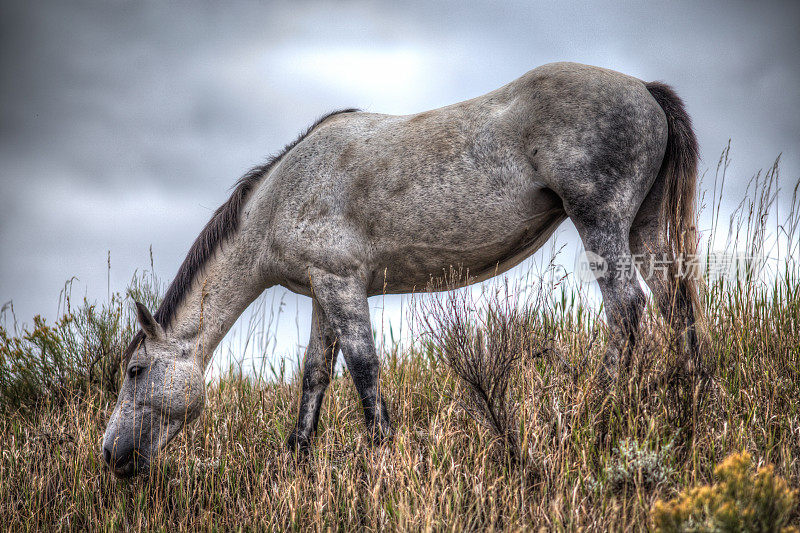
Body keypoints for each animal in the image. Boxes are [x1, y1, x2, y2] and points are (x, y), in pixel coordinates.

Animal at [101, 60, 700, 476]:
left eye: (135, 371)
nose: (109, 453)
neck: (281, 196)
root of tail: (645, 90)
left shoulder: (342, 285)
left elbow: (364, 369)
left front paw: (382, 456)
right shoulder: (324, 291)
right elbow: (315, 376)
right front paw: (297, 460)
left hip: (600, 220)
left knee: (628, 309)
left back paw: (597, 414)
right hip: (644, 227)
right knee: (677, 305)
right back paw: (689, 399)